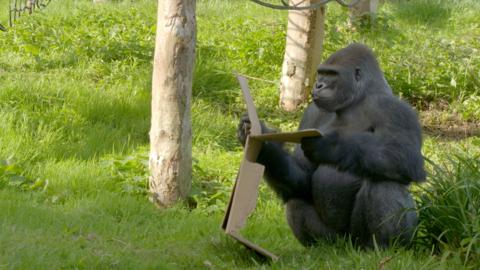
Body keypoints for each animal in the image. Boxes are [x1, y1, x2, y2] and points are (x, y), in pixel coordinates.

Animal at [238, 43, 426, 249]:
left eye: (332, 74)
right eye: (321, 74)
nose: (318, 85)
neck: (357, 99)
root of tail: (348, 248)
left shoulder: (396, 109)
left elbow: (406, 156)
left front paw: (331, 146)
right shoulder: (312, 112)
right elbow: (303, 178)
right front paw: (265, 147)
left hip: (363, 242)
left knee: (384, 183)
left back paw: (382, 247)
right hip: (337, 241)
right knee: (297, 201)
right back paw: (320, 248)